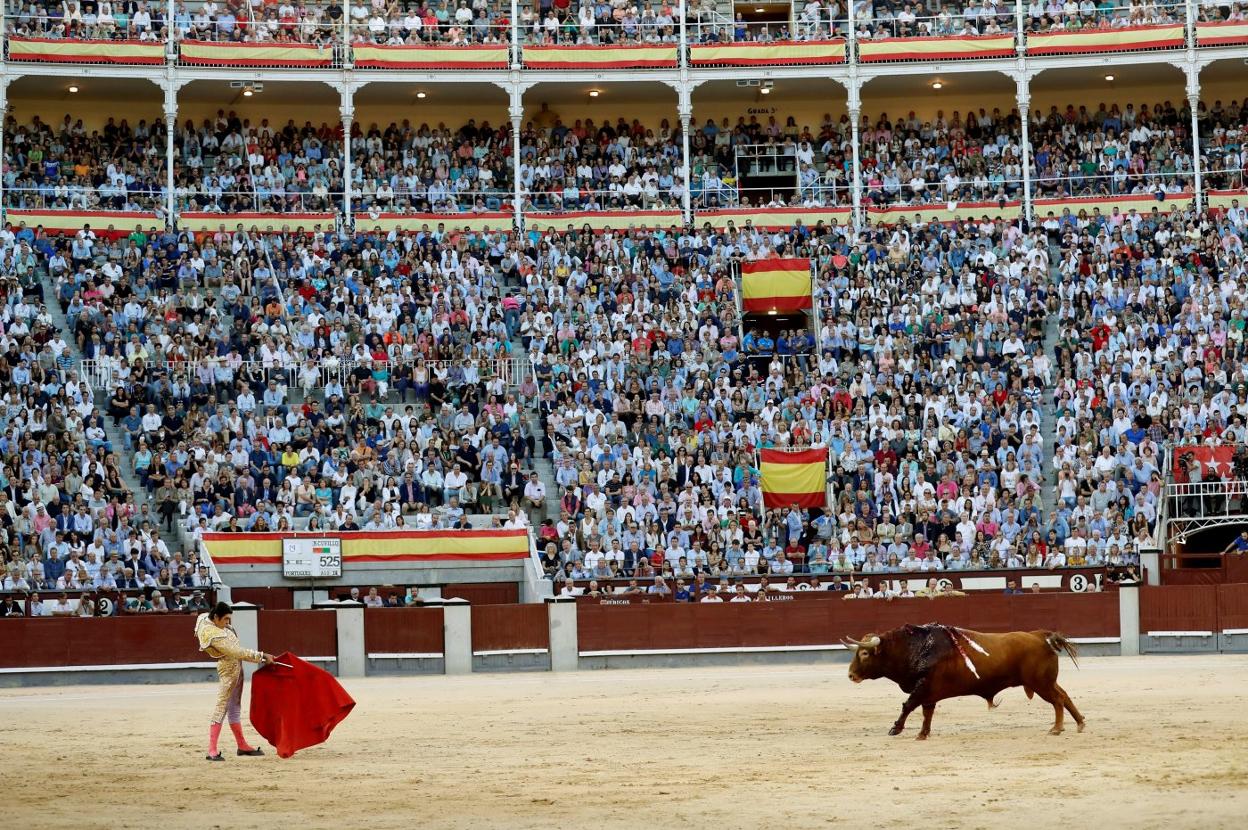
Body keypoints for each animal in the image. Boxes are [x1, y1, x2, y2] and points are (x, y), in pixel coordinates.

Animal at [848, 621, 1083, 738]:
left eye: (865, 654)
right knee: (1064, 696)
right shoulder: (929, 691)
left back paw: (1056, 729)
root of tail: (1040, 636)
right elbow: (927, 712)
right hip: (1047, 682)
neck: (915, 648)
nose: (851, 675)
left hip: (1040, 683)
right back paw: (1080, 723)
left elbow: (908, 706)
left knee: (1058, 700)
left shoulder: (922, 687)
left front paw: (895, 729)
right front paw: (923, 733)